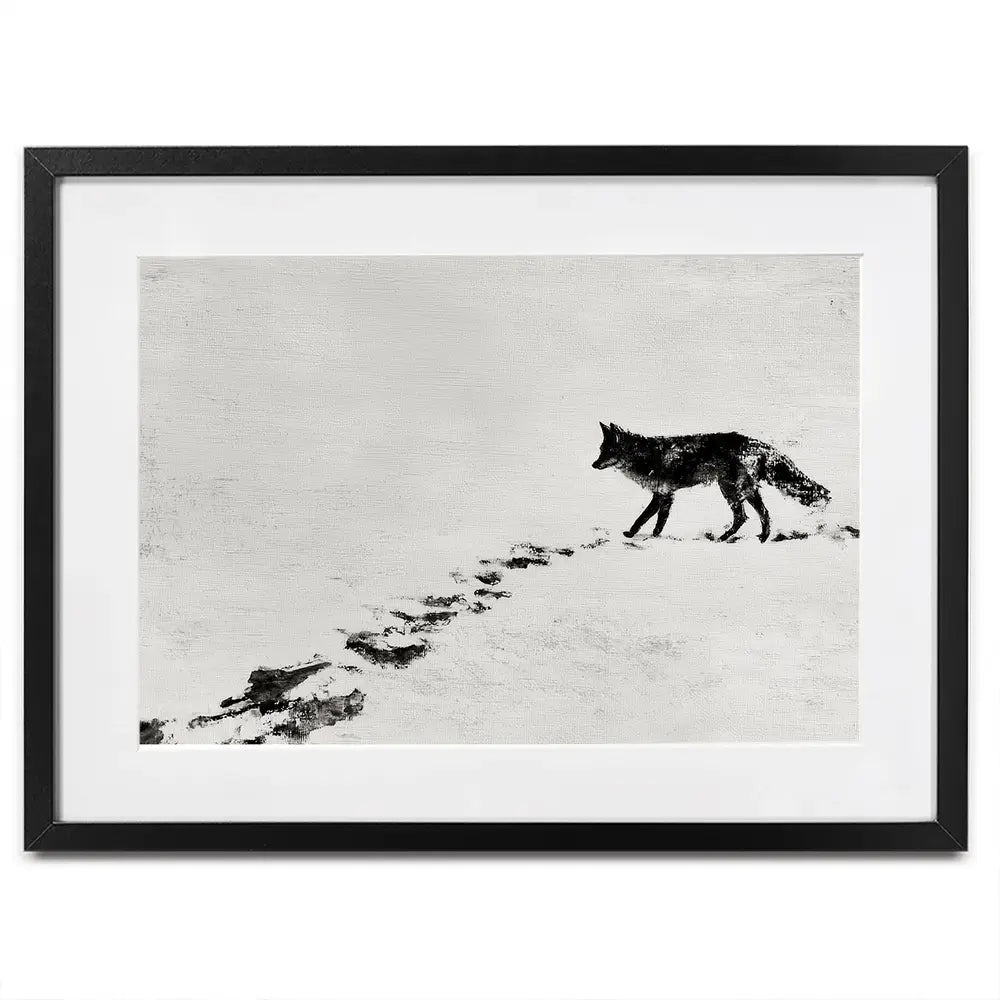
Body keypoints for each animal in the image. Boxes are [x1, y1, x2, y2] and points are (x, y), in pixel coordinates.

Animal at [591, 423, 830, 543]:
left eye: (606, 452)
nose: (593, 465)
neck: (648, 456)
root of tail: (759, 444)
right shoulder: (667, 495)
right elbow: (660, 521)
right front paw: (655, 537)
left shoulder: (661, 494)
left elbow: (643, 518)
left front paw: (632, 534)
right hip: (743, 490)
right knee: (763, 513)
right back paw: (761, 538)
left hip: (730, 489)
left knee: (743, 516)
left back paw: (723, 538)